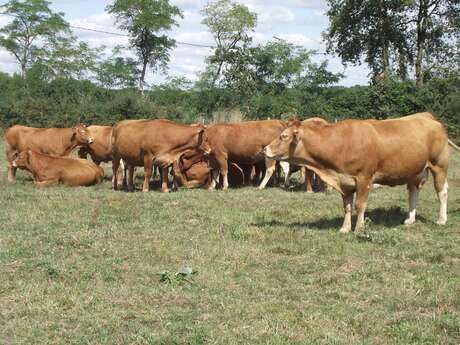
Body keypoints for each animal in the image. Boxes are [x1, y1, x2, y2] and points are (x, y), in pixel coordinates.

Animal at [262, 113, 460, 234]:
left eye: (283, 136)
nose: (265, 149)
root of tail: (427, 116)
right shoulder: (344, 181)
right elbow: (347, 206)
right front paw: (345, 228)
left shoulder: (364, 178)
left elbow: (360, 205)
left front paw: (359, 228)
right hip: (414, 171)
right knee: (413, 192)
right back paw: (410, 220)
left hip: (439, 165)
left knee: (442, 192)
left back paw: (441, 219)